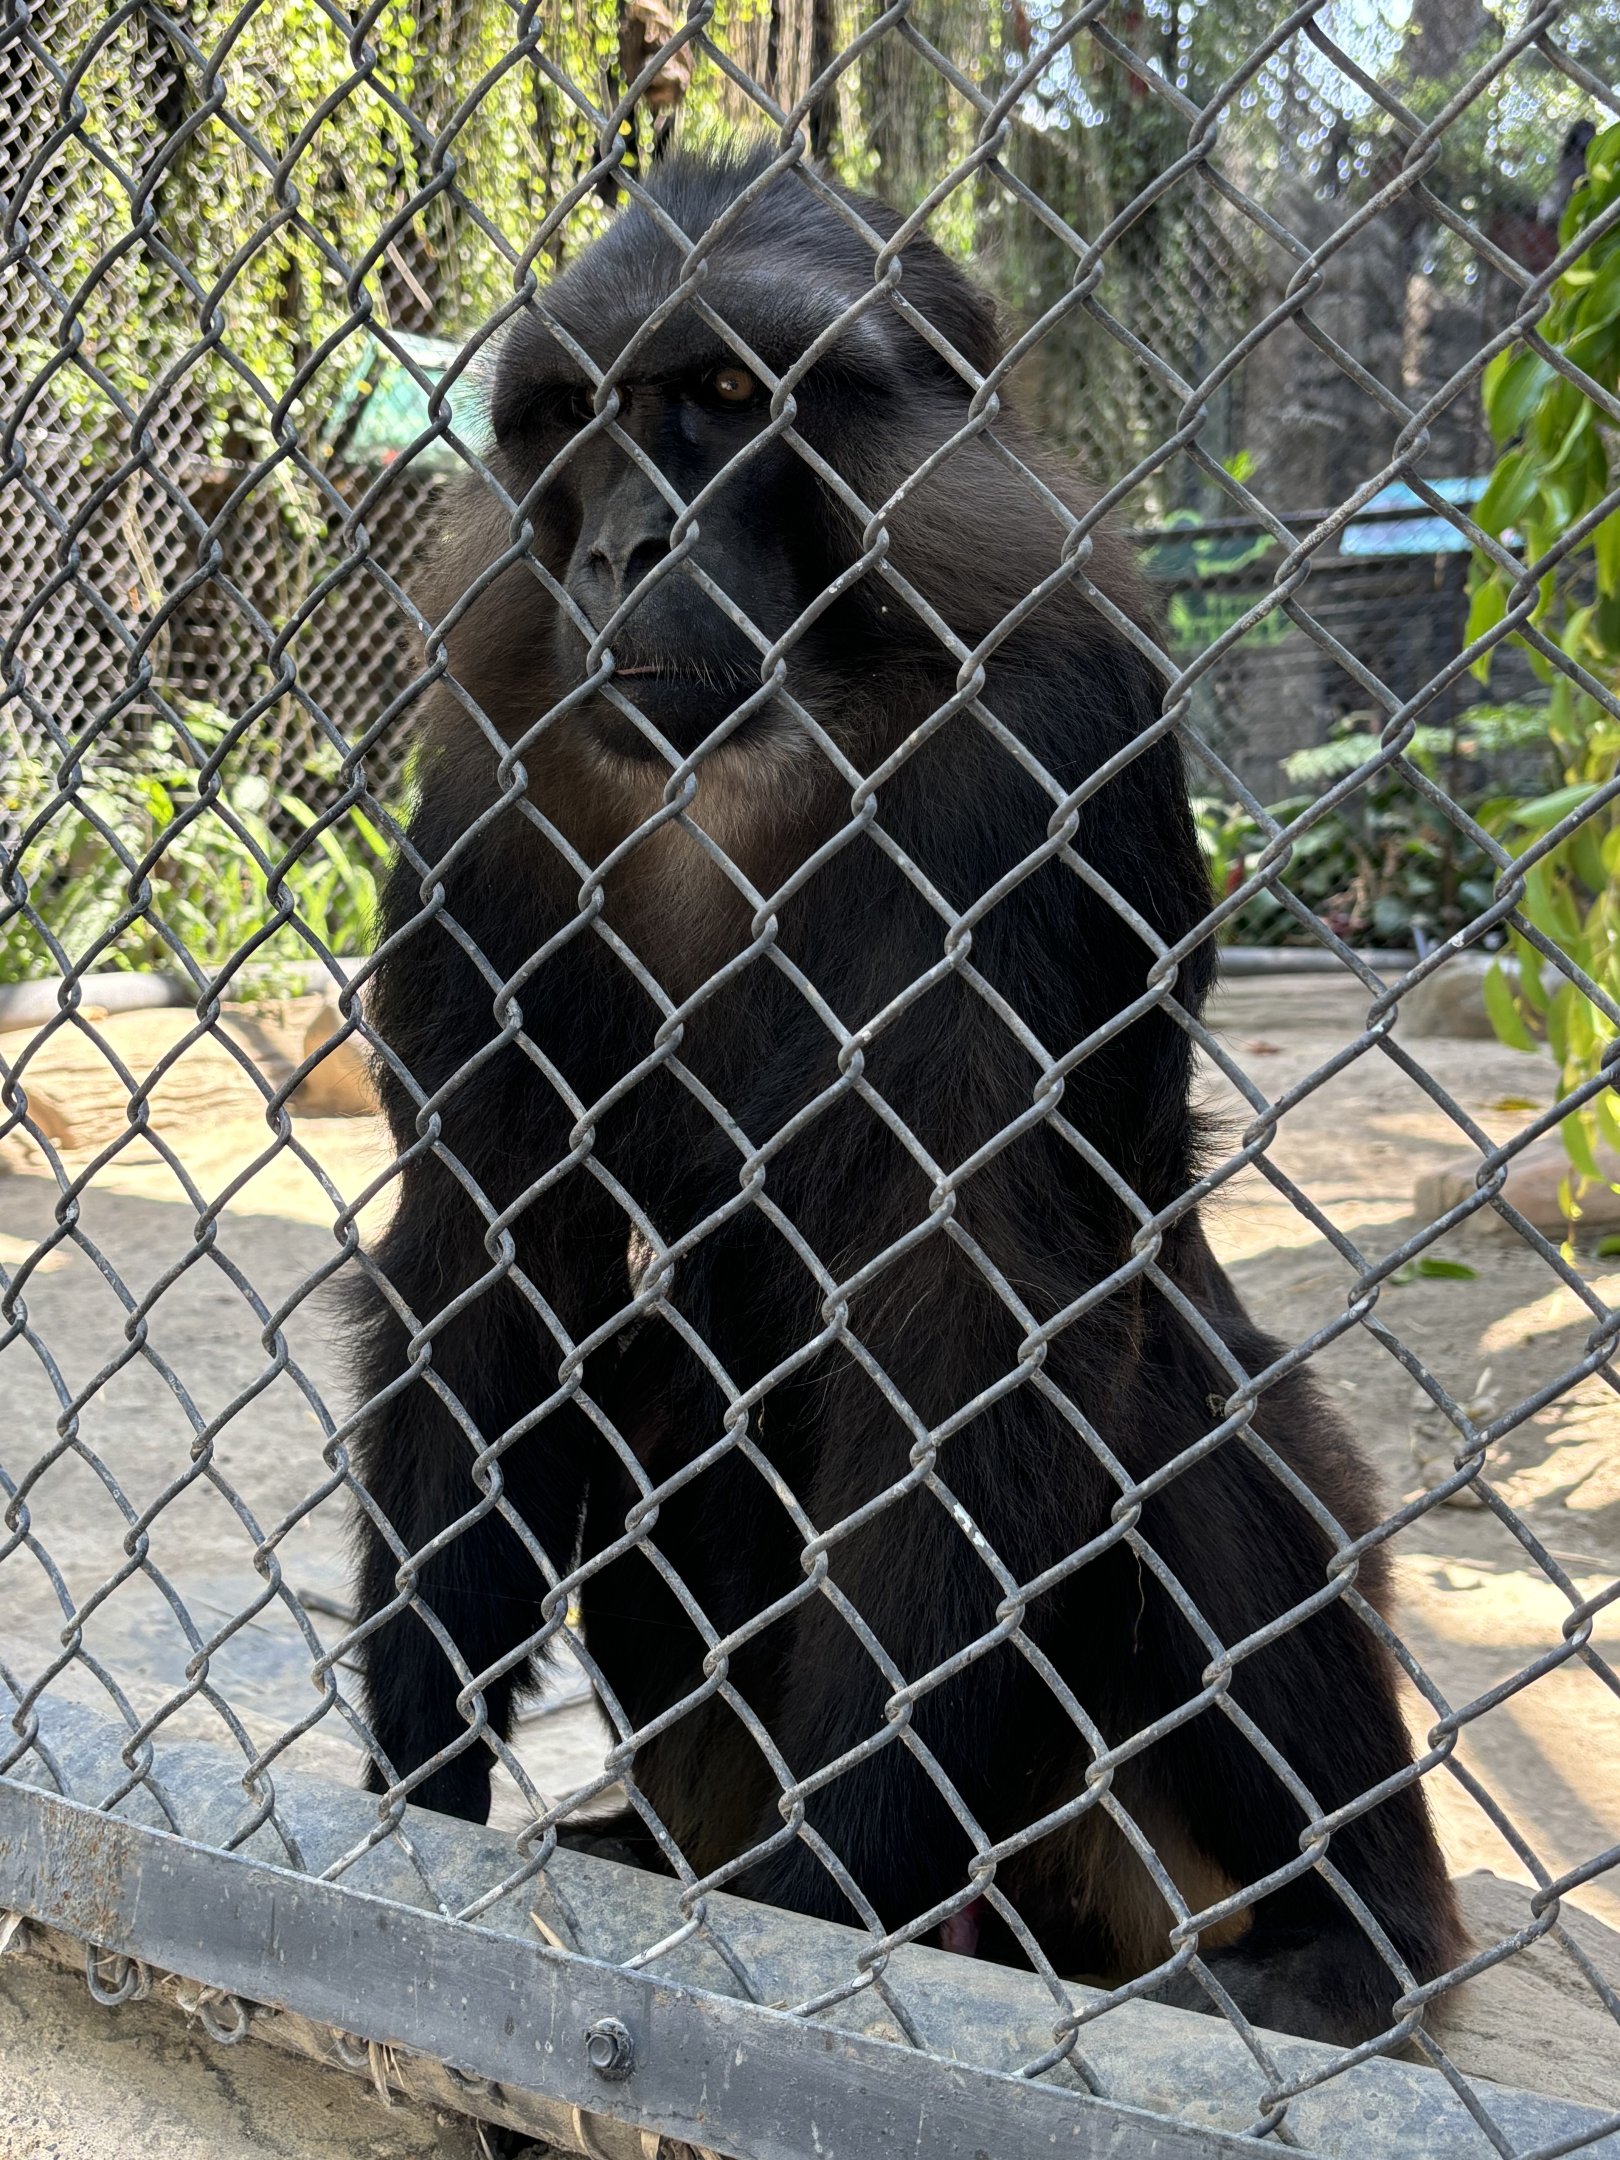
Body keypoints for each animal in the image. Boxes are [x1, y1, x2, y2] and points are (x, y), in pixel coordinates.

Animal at [345, 147, 1465, 2047]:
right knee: (659, 1377)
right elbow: (488, 1256)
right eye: (575, 416)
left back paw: (1344, 1938)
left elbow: (978, 1304)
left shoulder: (1055, 740)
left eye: (728, 395)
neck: (772, 739)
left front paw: (823, 1906)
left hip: (1120, 1836)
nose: (620, 545)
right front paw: (415, 1816)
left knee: (1168, 1393)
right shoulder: (503, 772)